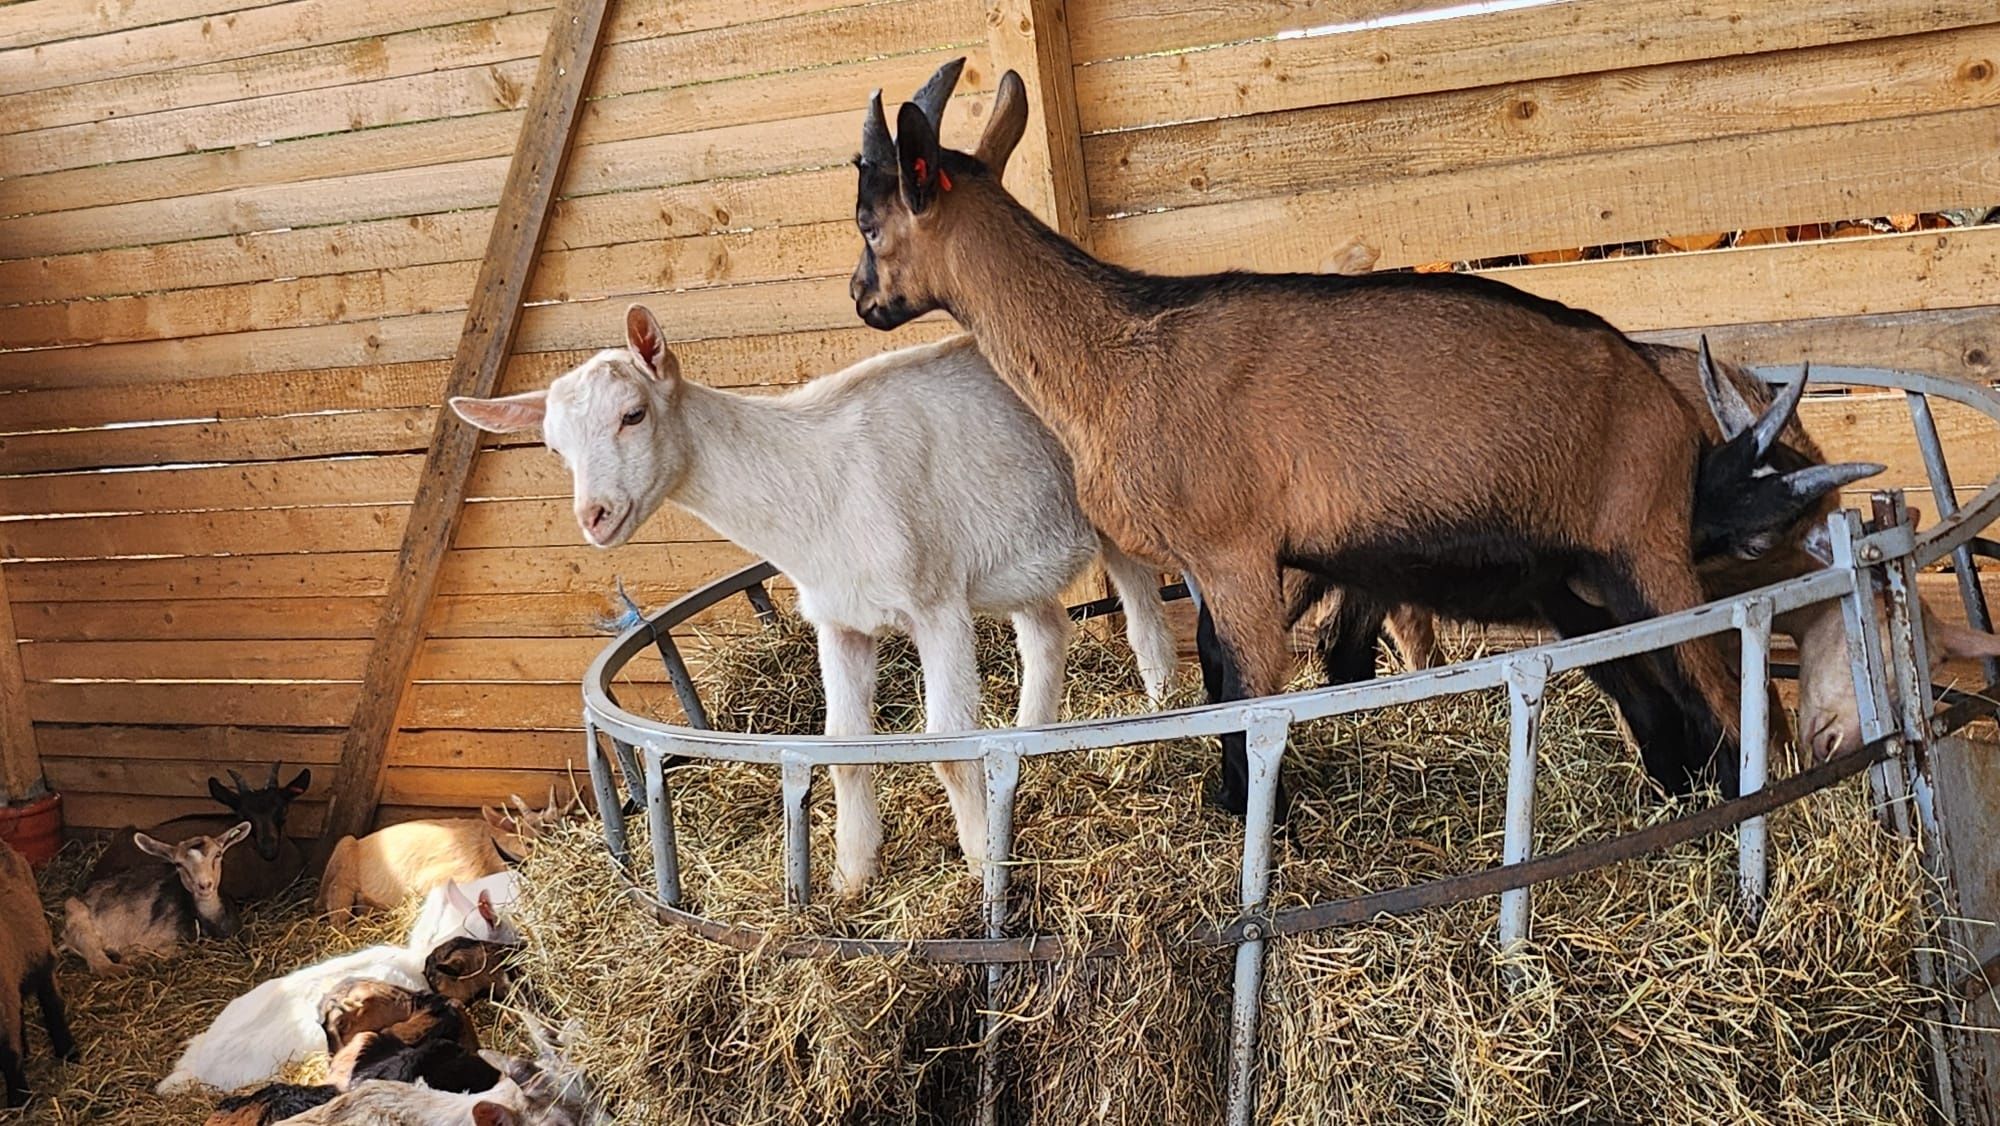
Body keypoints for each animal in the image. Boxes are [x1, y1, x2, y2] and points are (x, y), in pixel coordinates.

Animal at [446, 306, 1176, 900]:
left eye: (634, 413)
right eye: (553, 447)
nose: (594, 517)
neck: (815, 479)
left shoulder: (935, 602)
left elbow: (946, 745)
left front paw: (982, 867)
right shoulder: (840, 618)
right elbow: (844, 745)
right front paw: (853, 877)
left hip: (1115, 512)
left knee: (1144, 619)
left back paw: (1164, 709)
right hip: (1015, 554)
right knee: (1047, 629)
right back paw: (1033, 741)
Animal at [852, 59, 1896, 812]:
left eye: (866, 222)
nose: (863, 301)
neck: (1123, 349)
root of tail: (1659, 402)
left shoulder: (1236, 552)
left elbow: (1248, 692)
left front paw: (1251, 819)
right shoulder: (1222, 562)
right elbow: (1228, 673)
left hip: (1645, 548)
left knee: (1722, 689)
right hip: (1575, 574)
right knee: (1649, 682)